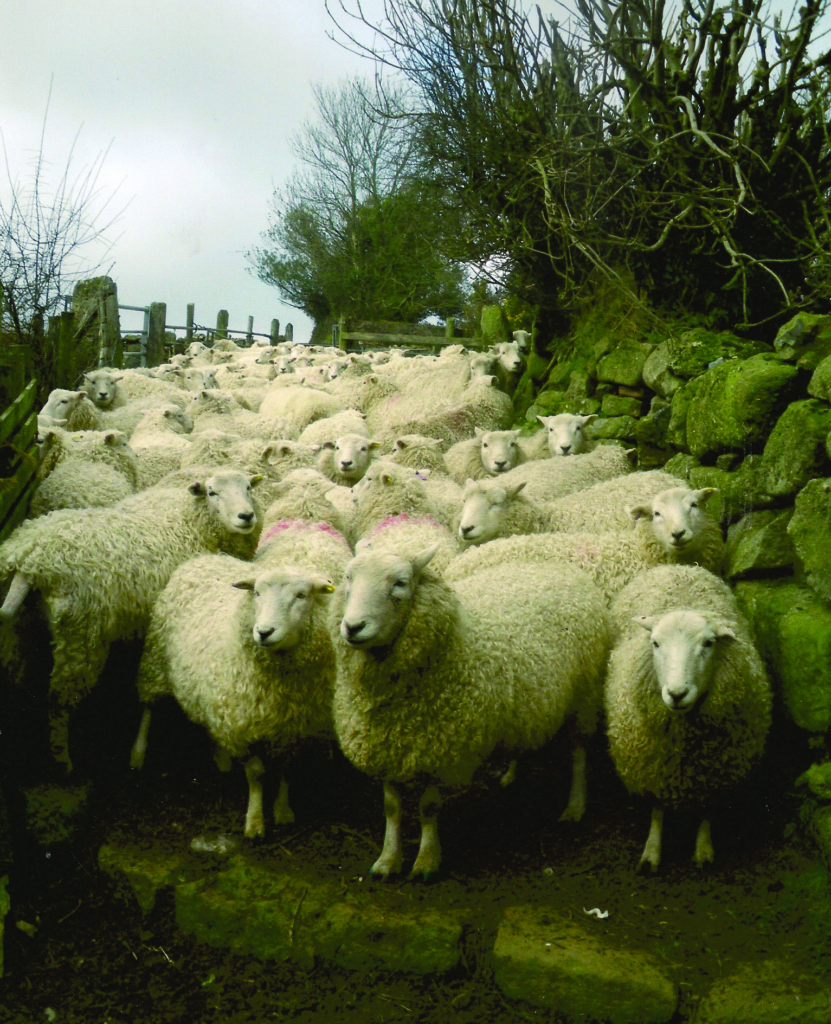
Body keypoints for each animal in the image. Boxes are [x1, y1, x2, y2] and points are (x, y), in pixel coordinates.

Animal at [0, 469, 263, 771]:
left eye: (248, 488)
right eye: (212, 492)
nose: (246, 516)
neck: (188, 523)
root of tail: (28, 560)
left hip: (20, 631)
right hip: (80, 636)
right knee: (58, 701)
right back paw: (62, 758)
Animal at [330, 547, 611, 878]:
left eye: (400, 583)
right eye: (348, 577)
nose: (353, 627)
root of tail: (559, 567)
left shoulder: (445, 750)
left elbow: (428, 807)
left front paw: (427, 861)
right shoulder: (383, 745)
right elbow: (392, 808)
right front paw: (387, 860)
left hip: (585, 695)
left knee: (579, 752)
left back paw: (575, 806)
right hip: (526, 703)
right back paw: (511, 775)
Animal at [604, 565, 772, 871]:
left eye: (708, 643)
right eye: (655, 643)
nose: (677, 693)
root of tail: (677, 566)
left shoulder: (715, 772)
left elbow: (706, 808)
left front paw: (703, 849)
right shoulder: (655, 767)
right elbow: (657, 808)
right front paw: (652, 851)